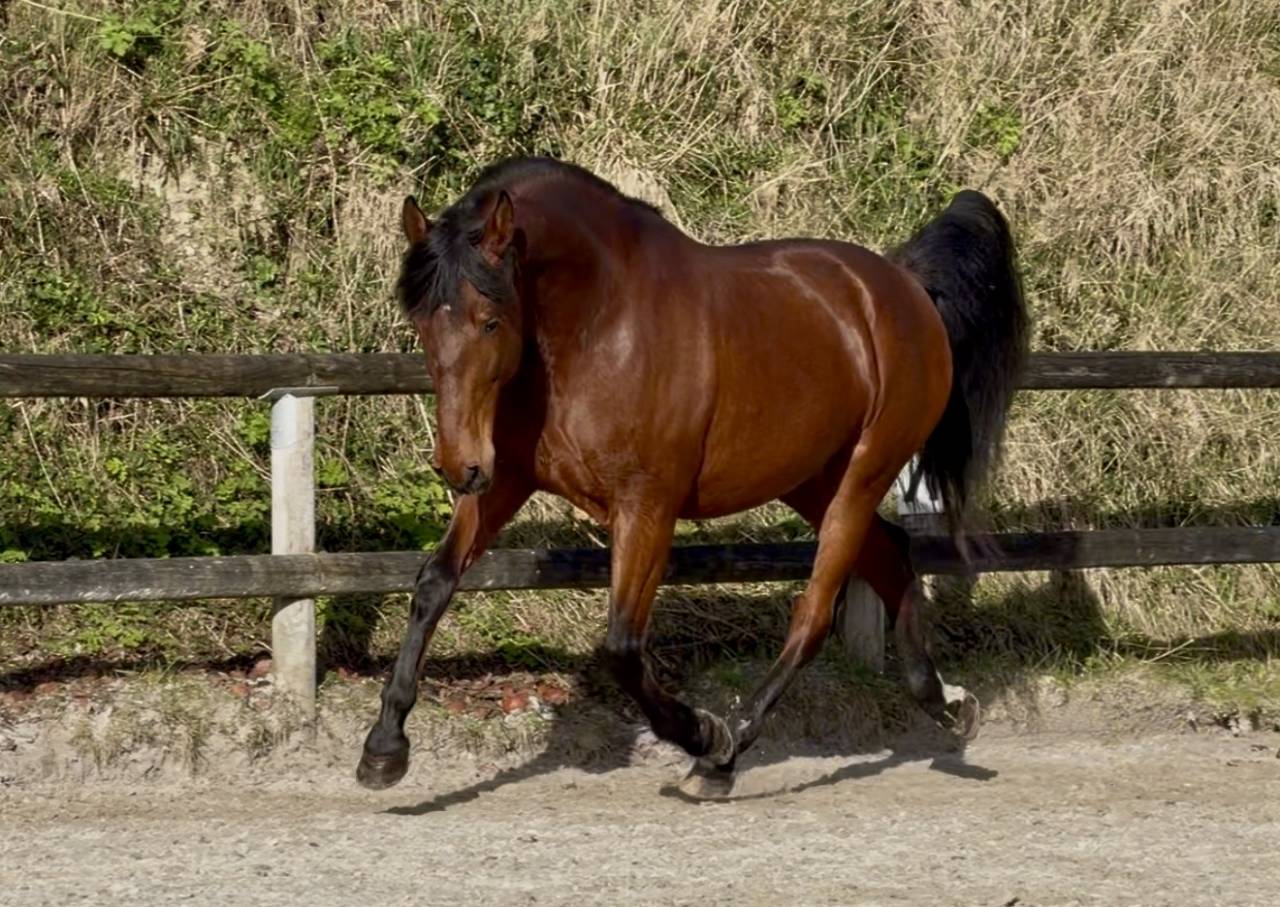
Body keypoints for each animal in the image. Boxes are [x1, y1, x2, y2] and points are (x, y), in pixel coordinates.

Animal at [356, 156, 1027, 798]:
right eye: (422, 322)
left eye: (490, 320)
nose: (457, 464)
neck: (597, 325)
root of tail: (902, 284)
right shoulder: (507, 480)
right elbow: (433, 584)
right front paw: (383, 750)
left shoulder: (646, 505)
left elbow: (623, 647)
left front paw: (703, 732)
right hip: (812, 479)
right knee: (892, 555)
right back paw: (947, 705)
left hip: (863, 476)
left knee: (813, 615)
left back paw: (724, 756)